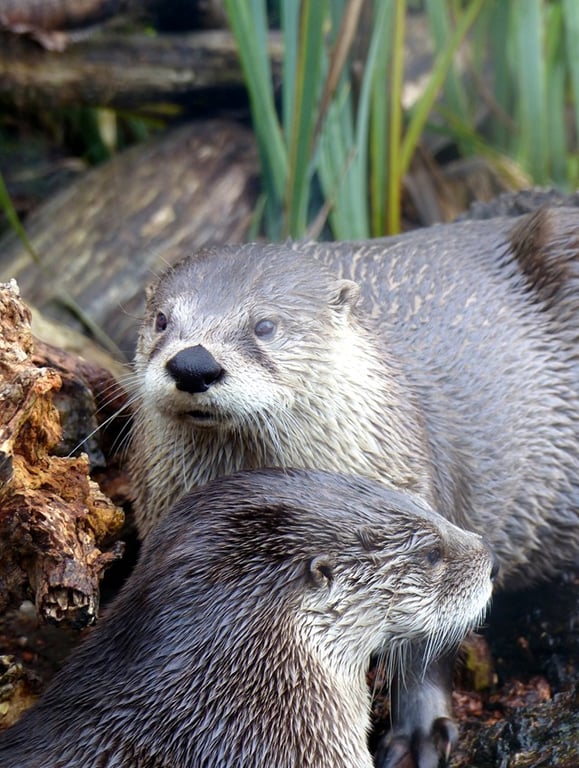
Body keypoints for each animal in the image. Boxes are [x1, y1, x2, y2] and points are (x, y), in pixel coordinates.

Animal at [130, 206, 579, 766]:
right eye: (161, 320)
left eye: (265, 325)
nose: (193, 363)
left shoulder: (428, 500)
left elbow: (429, 638)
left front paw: (418, 733)